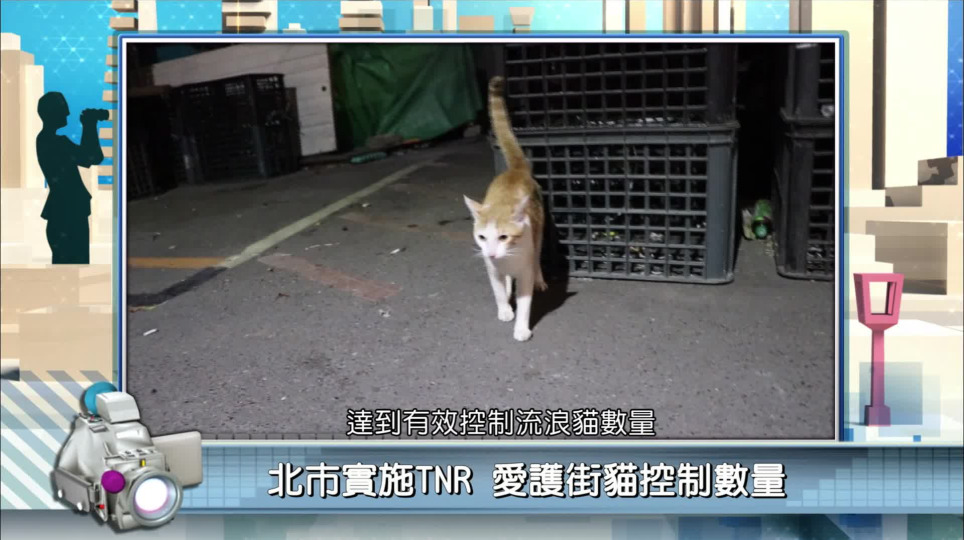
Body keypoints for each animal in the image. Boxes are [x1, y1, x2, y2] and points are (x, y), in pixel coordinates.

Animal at [463, 76, 547, 342]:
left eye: (504, 237)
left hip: (539, 231)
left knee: (538, 257)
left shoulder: (525, 268)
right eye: (482, 237)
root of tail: (516, 171)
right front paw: (504, 309)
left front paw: (521, 327)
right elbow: (498, 290)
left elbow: (525, 301)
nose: (490, 253)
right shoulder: (492, 269)